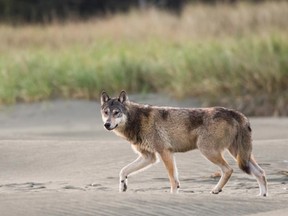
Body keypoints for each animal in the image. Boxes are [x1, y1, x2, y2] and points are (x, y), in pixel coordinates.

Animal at [99, 90, 268, 196]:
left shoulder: (164, 153)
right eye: (106, 113)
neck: (137, 120)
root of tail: (235, 113)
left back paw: (216, 190)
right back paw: (262, 196)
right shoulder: (150, 157)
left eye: (116, 113)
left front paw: (173, 196)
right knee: (260, 173)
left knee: (228, 170)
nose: (107, 125)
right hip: (239, 155)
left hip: (209, 151)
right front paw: (123, 186)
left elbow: (173, 180)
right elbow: (123, 171)